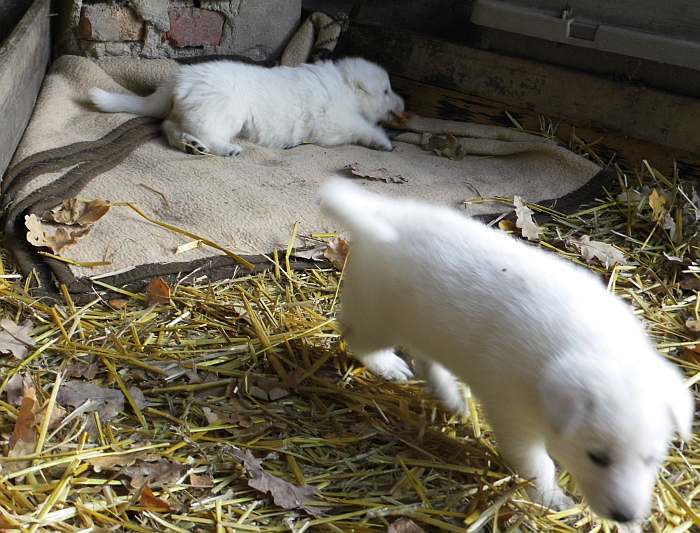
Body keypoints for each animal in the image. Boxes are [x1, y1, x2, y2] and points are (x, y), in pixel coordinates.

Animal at [87, 57, 404, 156]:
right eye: (386, 90)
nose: (403, 104)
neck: (345, 84)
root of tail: (179, 78)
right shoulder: (334, 123)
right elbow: (362, 126)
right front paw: (383, 141)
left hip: (193, 110)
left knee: (170, 126)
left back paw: (191, 145)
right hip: (223, 111)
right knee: (203, 131)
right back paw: (225, 148)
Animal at [320, 179, 692, 524]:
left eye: (651, 458)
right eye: (597, 457)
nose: (627, 517)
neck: (592, 345)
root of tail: (384, 214)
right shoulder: (515, 419)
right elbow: (537, 463)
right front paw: (550, 498)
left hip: (423, 325)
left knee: (425, 359)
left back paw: (451, 396)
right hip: (376, 316)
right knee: (356, 337)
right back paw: (389, 365)